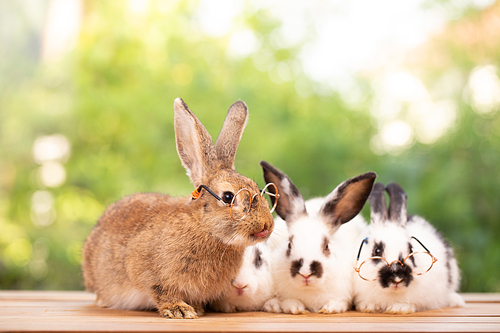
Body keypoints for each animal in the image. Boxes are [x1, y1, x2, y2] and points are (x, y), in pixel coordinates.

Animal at [83, 97, 278, 318]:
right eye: (228, 197)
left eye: (258, 189)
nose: (266, 226)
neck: (203, 227)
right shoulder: (148, 271)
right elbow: (161, 290)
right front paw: (180, 310)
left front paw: (197, 309)